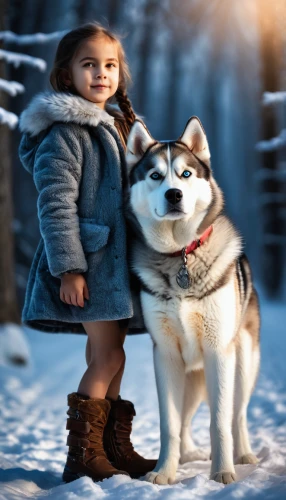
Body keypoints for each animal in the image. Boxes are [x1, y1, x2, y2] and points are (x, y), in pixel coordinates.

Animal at [126, 117, 260, 484]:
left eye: (185, 174)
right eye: (155, 175)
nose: (174, 194)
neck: (181, 255)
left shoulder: (218, 351)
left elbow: (220, 420)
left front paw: (223, 471)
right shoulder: (166, 355)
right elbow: (169, 424)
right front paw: (163, 472)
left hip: (241, 363)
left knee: (238, 414)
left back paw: (243, 454)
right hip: (191, 376)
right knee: (185, 421)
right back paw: (187, 456)